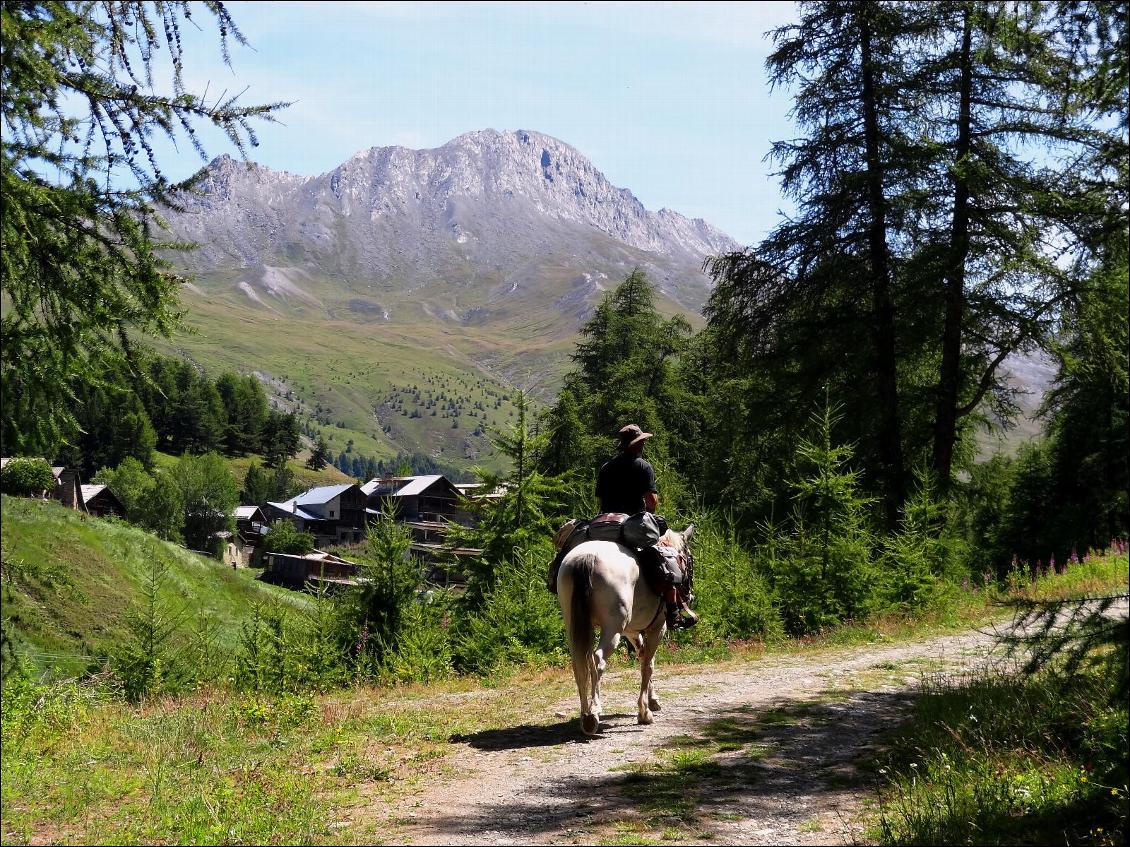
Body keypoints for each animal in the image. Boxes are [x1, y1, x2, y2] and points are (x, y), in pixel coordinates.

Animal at [553, 528, 691, 740]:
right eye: (688, 559)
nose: (689, 594)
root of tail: (587, 556)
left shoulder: (632, 632)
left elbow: (644, 658)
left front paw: (652, 700)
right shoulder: (657, 628)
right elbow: (648, 665)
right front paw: (644, 713)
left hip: (574, 626)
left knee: (579, 665)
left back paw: (585, 714)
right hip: (612, 630)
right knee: (598, 660)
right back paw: (593, 714)